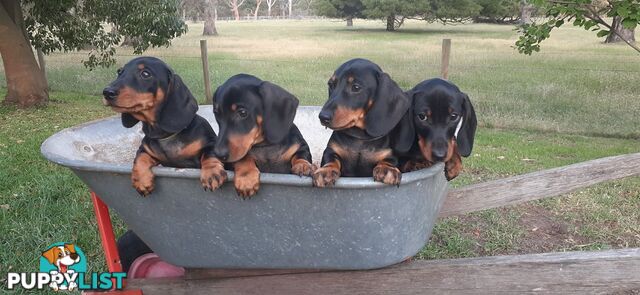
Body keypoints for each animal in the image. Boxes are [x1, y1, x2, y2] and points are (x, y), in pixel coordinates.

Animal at [103, 57, 228, 198]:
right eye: (119, 72)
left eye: (145, 74)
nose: (107, 92)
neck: (165, 135)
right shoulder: (146, 150)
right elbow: (140, 157)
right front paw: (141, 181)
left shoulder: (211, 143)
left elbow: (209, 154)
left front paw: (212, 173)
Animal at [312, 58, 412, 187]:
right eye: (331, 85)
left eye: (356, 87)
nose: (323, 117)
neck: (360, 137)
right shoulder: (330, 150)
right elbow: (331, 159)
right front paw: (326, 170)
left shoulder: (390, 155)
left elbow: (389, 160)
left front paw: (387, 169)